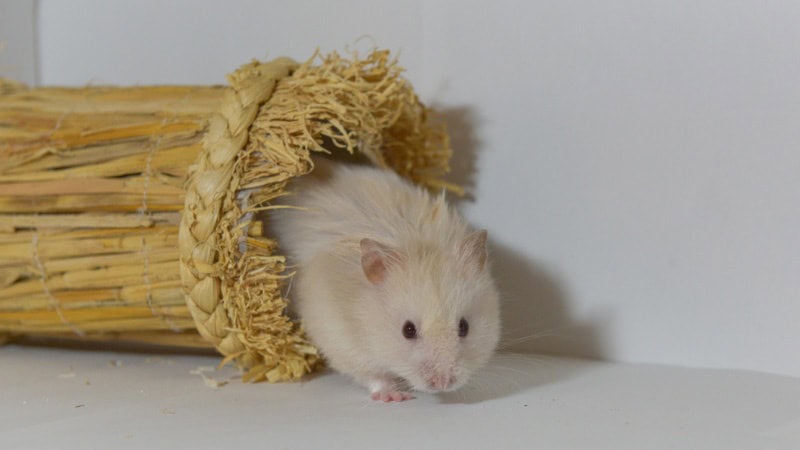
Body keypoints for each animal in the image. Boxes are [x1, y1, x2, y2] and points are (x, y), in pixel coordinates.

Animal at [269, 158, 501, 402]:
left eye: (464, 327)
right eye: (408, 330)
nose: (443, 384)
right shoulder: (341, 339)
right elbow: (372, 374)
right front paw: (395, 396)